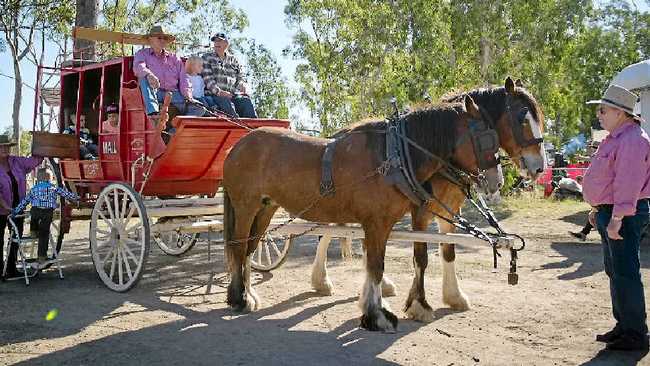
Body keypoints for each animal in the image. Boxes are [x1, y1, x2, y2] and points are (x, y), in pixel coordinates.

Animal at [223, 95, 502, 332]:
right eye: (487, 137)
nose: (496, 182)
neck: (391, 157)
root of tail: (238, 146)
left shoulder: (383, 224)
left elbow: (376, 265)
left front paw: (377, 309)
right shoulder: (376, 223)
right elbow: (376, 267)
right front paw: (376, 316)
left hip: (265, 208)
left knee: (249, 249)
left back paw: (248, 295)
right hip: (246, 206)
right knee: (239, 247)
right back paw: (240, 298)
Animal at [308, 78, 548, 324]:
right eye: (522, 119)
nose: (540, 167)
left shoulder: (450, 209)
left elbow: (448, 251)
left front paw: (454, 296)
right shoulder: (420, 211)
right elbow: (420, 257)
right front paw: (419, 305)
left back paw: (381, 286)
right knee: (325, 234)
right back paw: (321, 280)